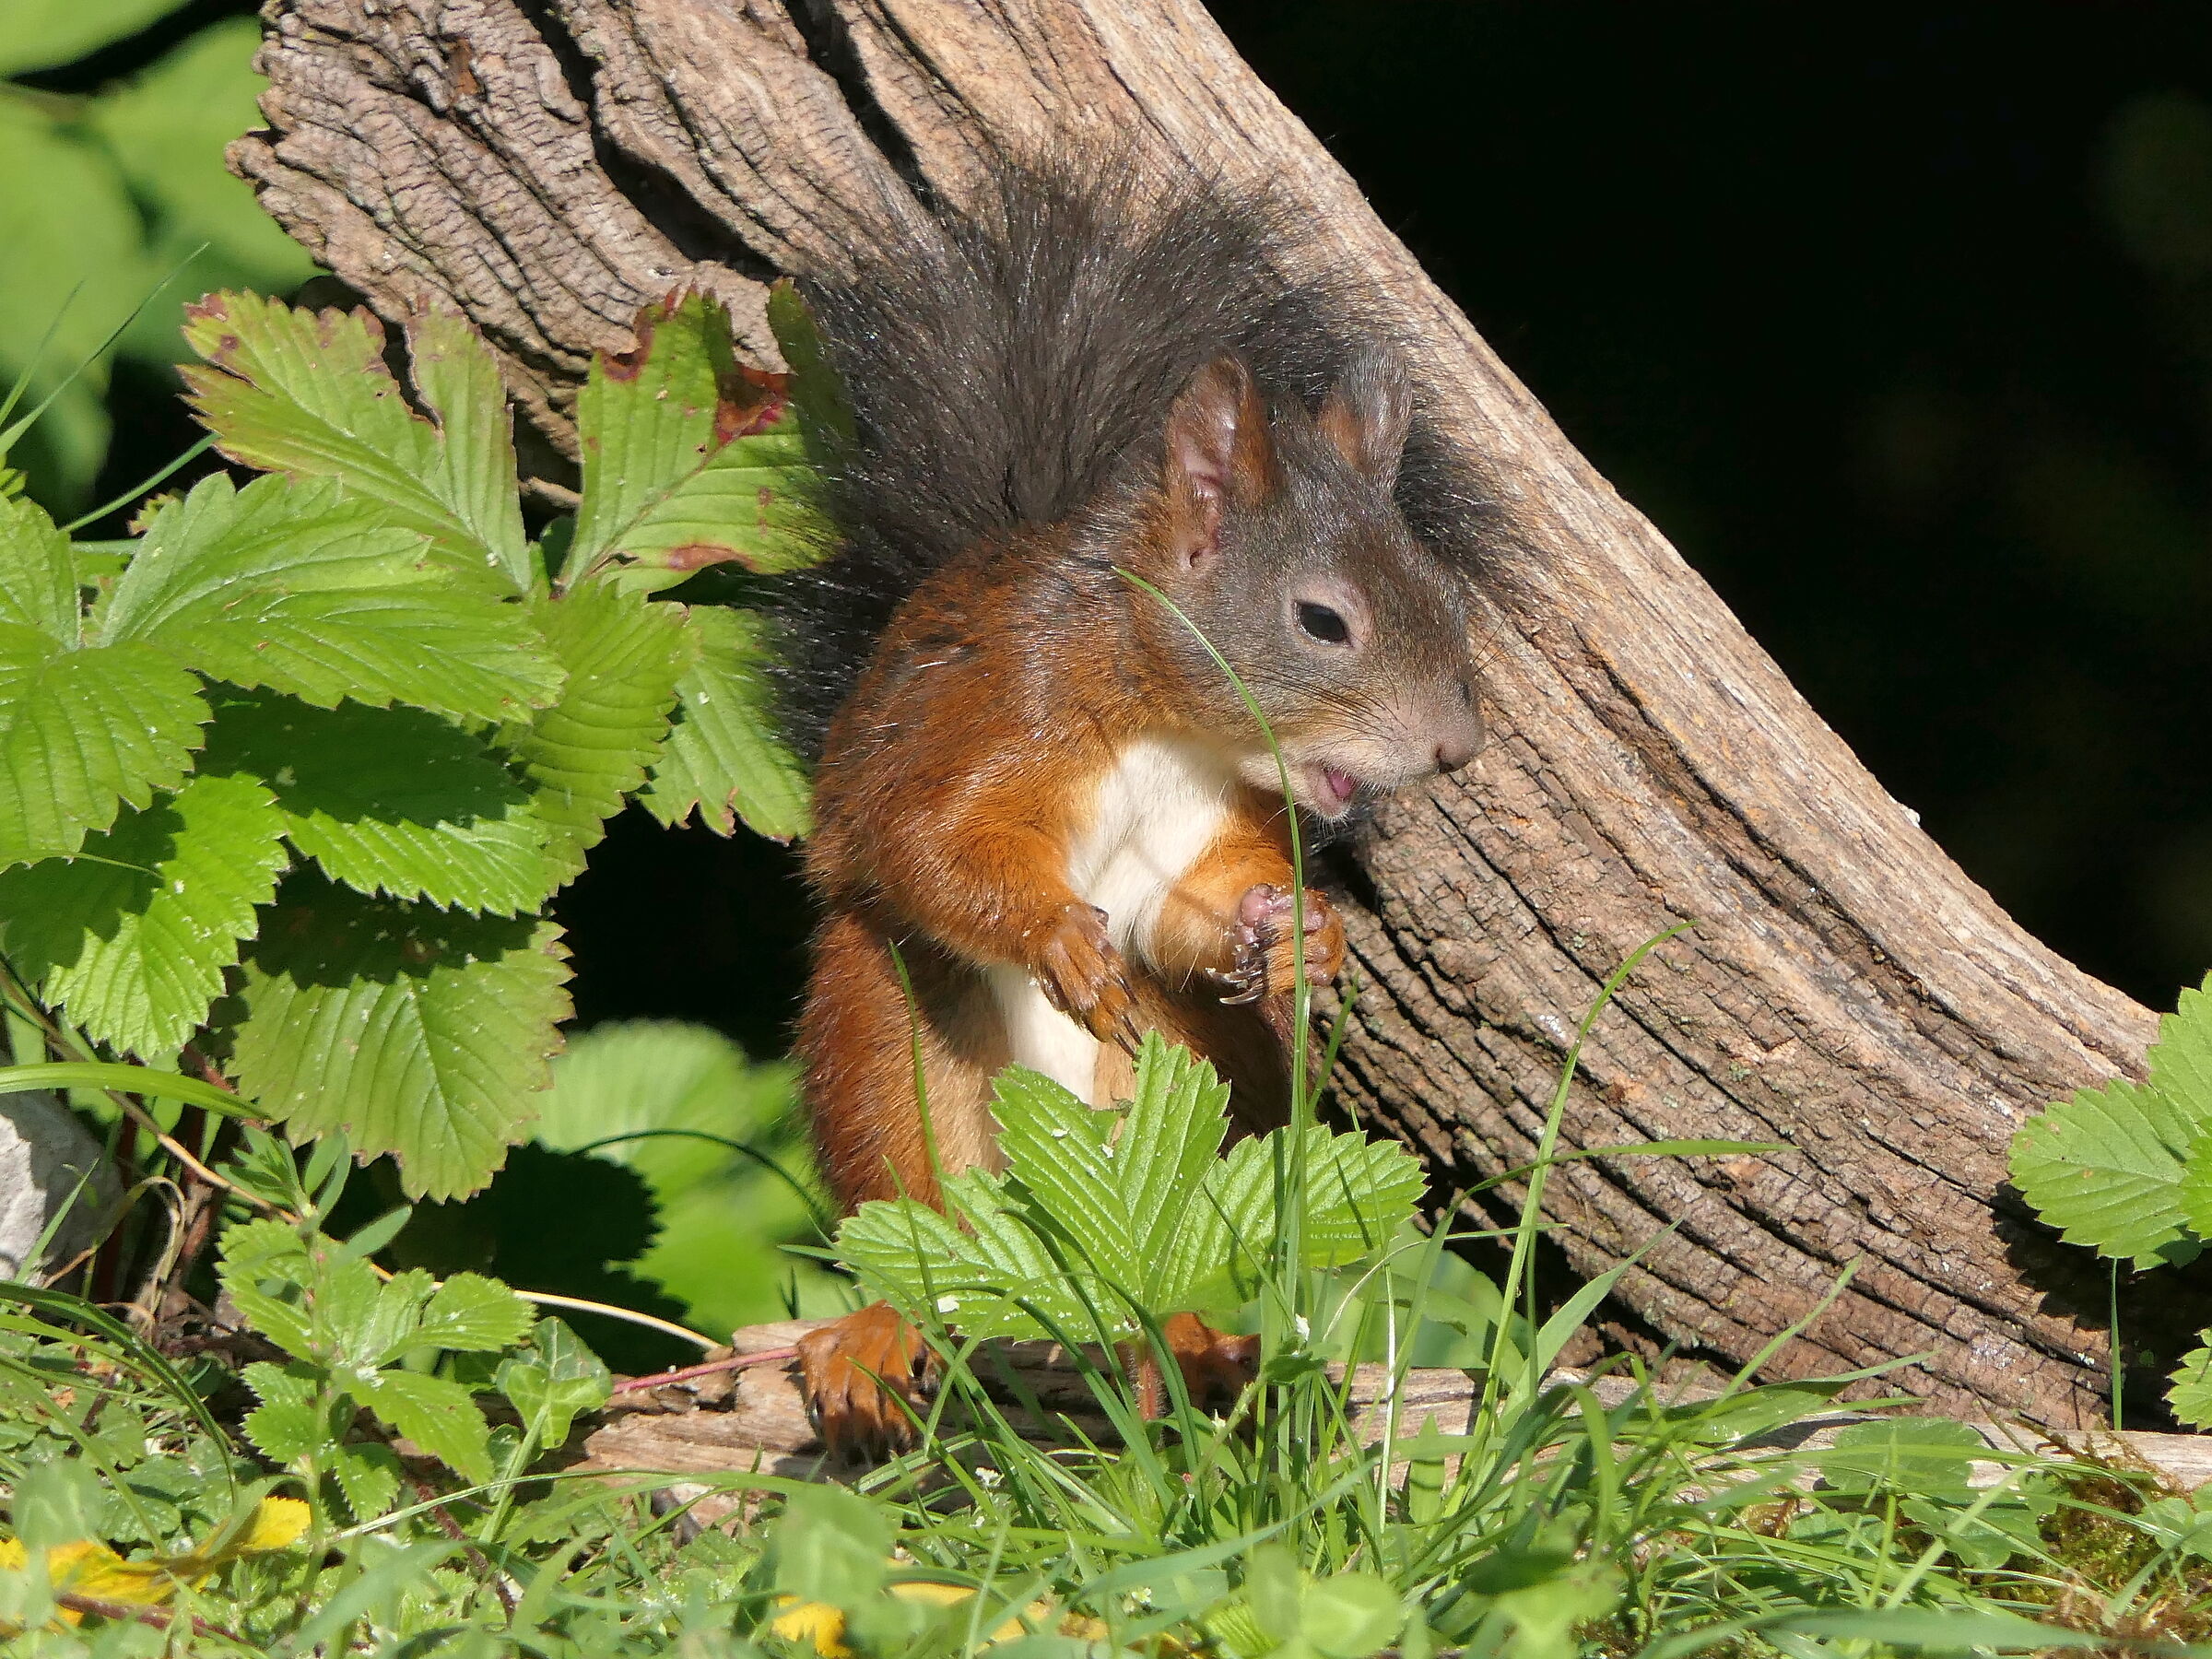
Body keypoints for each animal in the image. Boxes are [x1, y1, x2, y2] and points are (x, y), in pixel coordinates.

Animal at [773, 156, 1498, 1456]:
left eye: (1440, 589)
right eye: (1324, 620)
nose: (1456, 749)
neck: (1170, 721)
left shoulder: (1205, 831)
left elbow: (1188, 912)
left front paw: (1300, 935)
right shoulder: (997, 716)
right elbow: (928, 845)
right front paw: (1059, 935)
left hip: (1186, 1076)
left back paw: (1198, 1342)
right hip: (885, 1041)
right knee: (915, 1229)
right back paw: (878, 1338)